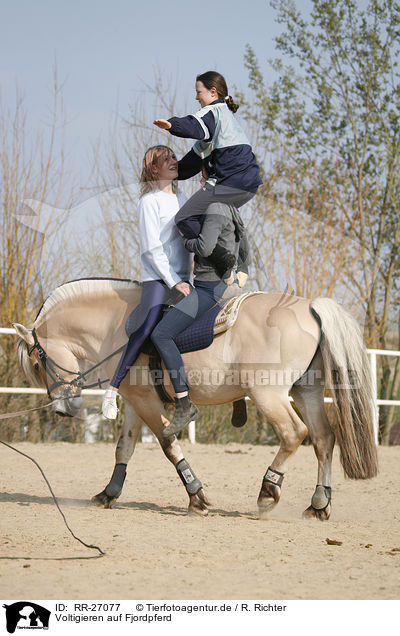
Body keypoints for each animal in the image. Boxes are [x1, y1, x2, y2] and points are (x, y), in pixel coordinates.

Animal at [14, 280, 378, 520]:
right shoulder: (136, 401)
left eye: (37, 364)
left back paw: (267, 492)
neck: (118, 326)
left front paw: (197, 497)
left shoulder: (148, 403)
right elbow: (124, 448)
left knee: (294, 434)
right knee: (323, 438)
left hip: (269, 394)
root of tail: (310, 307)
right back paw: (319, 504)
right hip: (307, 392)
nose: (61, 408)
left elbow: (168, 443)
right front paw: (108, 494)